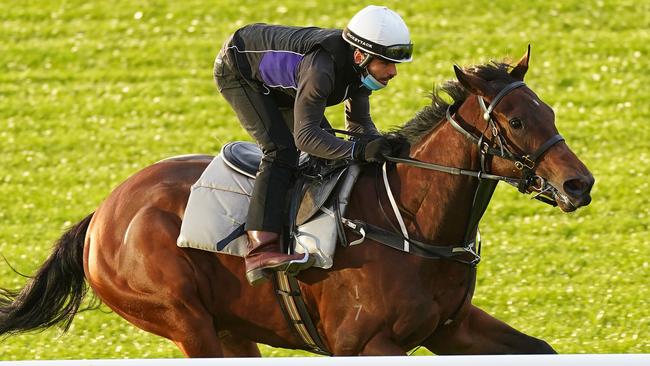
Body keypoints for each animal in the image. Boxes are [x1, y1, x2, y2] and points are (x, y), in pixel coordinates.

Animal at [0, 48, 592, 354]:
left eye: (549, 111)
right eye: (516, 121)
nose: (578, 184)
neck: (412, 224)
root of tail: (101, 214)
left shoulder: (451, 328)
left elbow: (542, 350)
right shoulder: (368, 345)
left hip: (230, 327)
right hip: (185, 320)